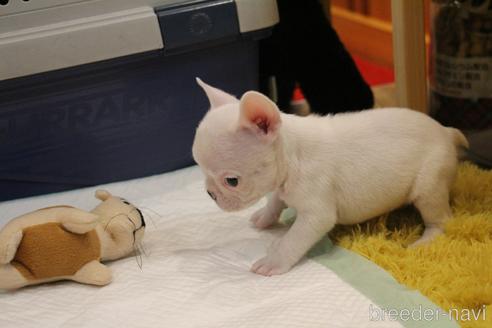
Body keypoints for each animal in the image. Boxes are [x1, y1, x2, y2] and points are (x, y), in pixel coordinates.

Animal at [190, 78, 468, 276]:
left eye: (232, 181)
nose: (210, 193)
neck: (291, 155)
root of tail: (446, 131)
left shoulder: (315, 214)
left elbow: (292, 239)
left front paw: (273, 260)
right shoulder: (281, 188)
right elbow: (275, 202)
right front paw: (264, 217)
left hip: (430, 186)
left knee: (441, 219)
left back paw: (424, 241)